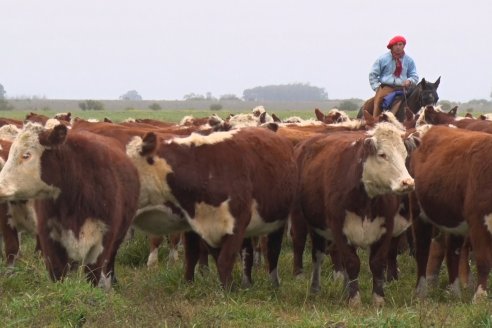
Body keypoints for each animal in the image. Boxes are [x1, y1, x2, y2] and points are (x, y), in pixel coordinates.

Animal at [0, 123, 140, 290]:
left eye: (26, 155)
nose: (0, 187)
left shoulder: (103, 242)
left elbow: (93, 276)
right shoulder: (49, 238)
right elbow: (56, 273)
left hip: (119, 237)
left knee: (110, 262)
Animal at [126, 127, 296, 288]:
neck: (206, 173)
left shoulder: (237, 224)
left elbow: (225, 260)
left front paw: (229, 291)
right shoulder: (203, 227)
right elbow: (205, 257)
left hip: (276, 222)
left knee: (272, 250)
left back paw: (274, 284)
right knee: (248, 252)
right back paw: (247, 283)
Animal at [292, 121, 416, 306]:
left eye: (404, 154)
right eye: (382, 155)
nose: (407, 182)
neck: (366, 199)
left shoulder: (386, 227)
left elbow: (377, 263)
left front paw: (378, 298)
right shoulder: (338, 228)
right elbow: (351, 262)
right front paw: (355, 299)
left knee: (320, 254)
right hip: (302, 218)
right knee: (306, 248)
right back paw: (306, 281)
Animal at [410, 125, 492, 302]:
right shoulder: (478, 221)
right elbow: (484, 260)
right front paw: (480, 297)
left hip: (456, 223)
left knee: (452, 253)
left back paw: (455, 293)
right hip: (419, 214)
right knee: (422, 251)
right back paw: (421, 292)